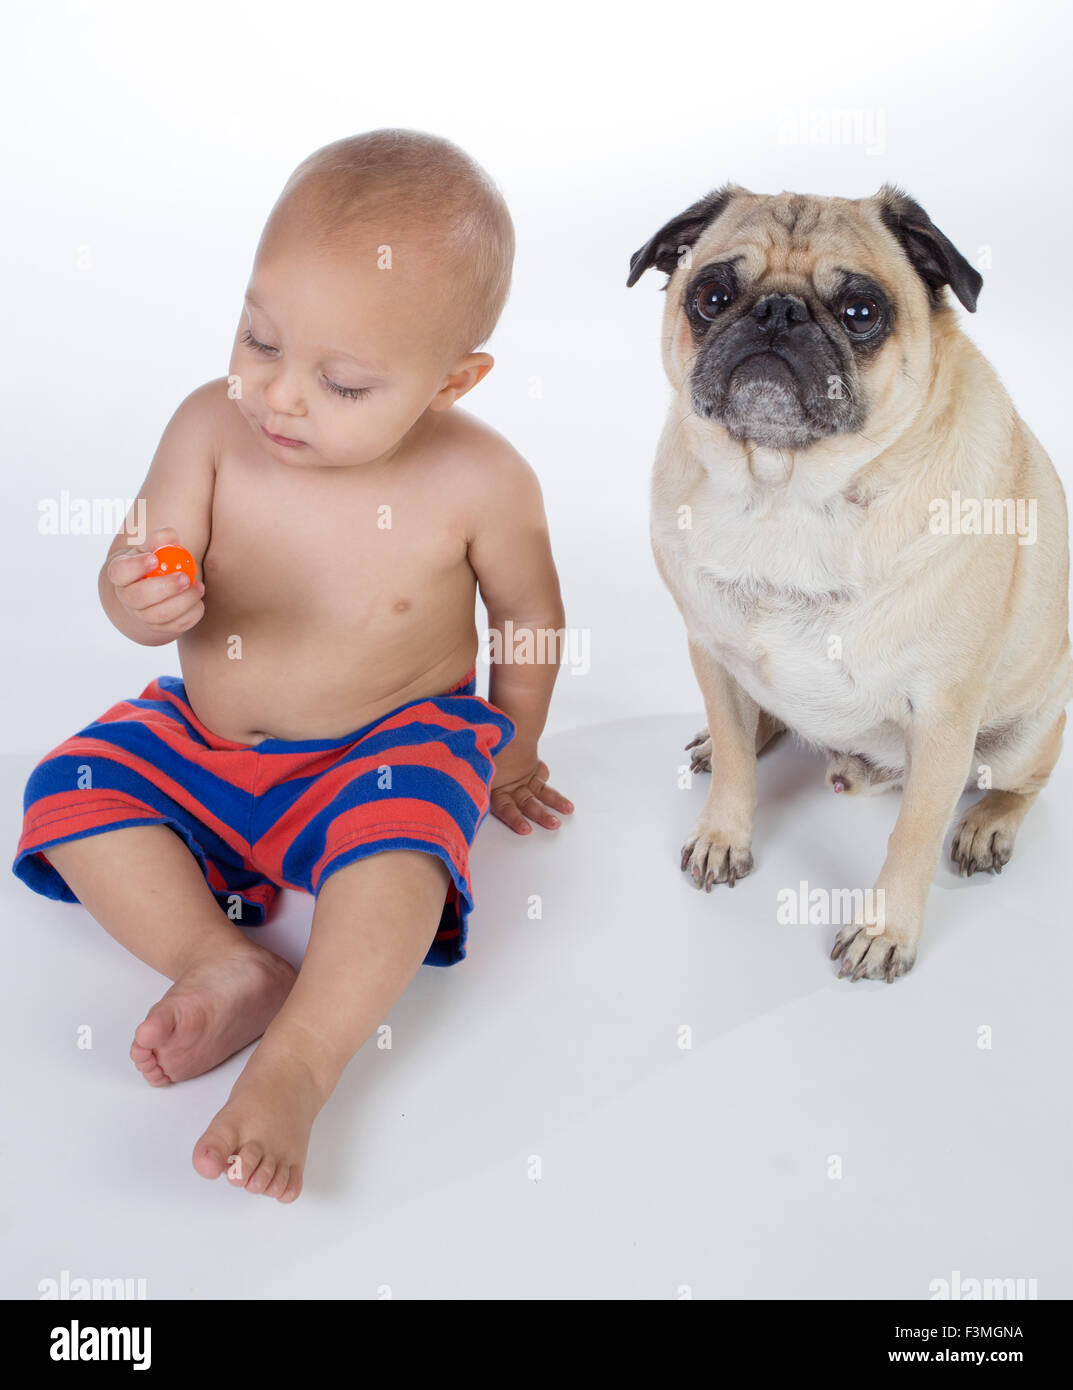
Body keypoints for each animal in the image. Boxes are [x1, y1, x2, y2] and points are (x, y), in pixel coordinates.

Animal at [628, 184, 1073, 984]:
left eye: (861, 311)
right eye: (712, 296)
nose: (777, 312)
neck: (788, 494)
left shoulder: (942, 716)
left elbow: (913, 834)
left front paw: (884, 930)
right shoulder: (710, 650)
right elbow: (736, 765)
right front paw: (723, 832)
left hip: (1022, 737)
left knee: (1021, 784)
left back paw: (986, 827)